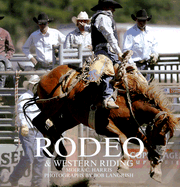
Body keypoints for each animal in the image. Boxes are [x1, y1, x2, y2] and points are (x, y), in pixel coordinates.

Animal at [23, 50, 178, 182]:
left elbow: (144, 142)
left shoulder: (132, 130)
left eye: (169, 134)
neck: (127, 102)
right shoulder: (103, 126)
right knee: (38, 121)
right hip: (53, 105)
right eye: (162, 131)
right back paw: (54, 151)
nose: (161, 153)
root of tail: (44, 77)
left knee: (54, 129)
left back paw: (58, 155)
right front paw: (124, 165)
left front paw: (156, 170)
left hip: (70, 117)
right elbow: (123, 138)